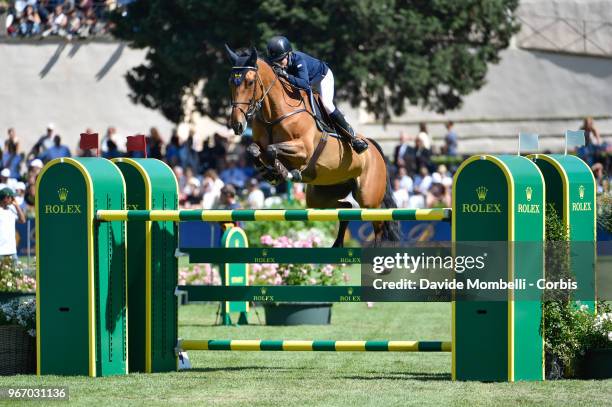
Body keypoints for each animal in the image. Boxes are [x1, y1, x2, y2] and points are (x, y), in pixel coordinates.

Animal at [226, 46, 402, 247]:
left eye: (249, 82)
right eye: (231, 82)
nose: (237, 125)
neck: (274, 113)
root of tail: (374, 148)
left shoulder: (303, 150)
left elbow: (272, 150)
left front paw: (285, 172)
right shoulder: (262, 145)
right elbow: (254, 149)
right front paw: (270, 173)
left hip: (369, 199)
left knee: (379, 226)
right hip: (321, 196)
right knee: (346, 208)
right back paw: (337, 243)